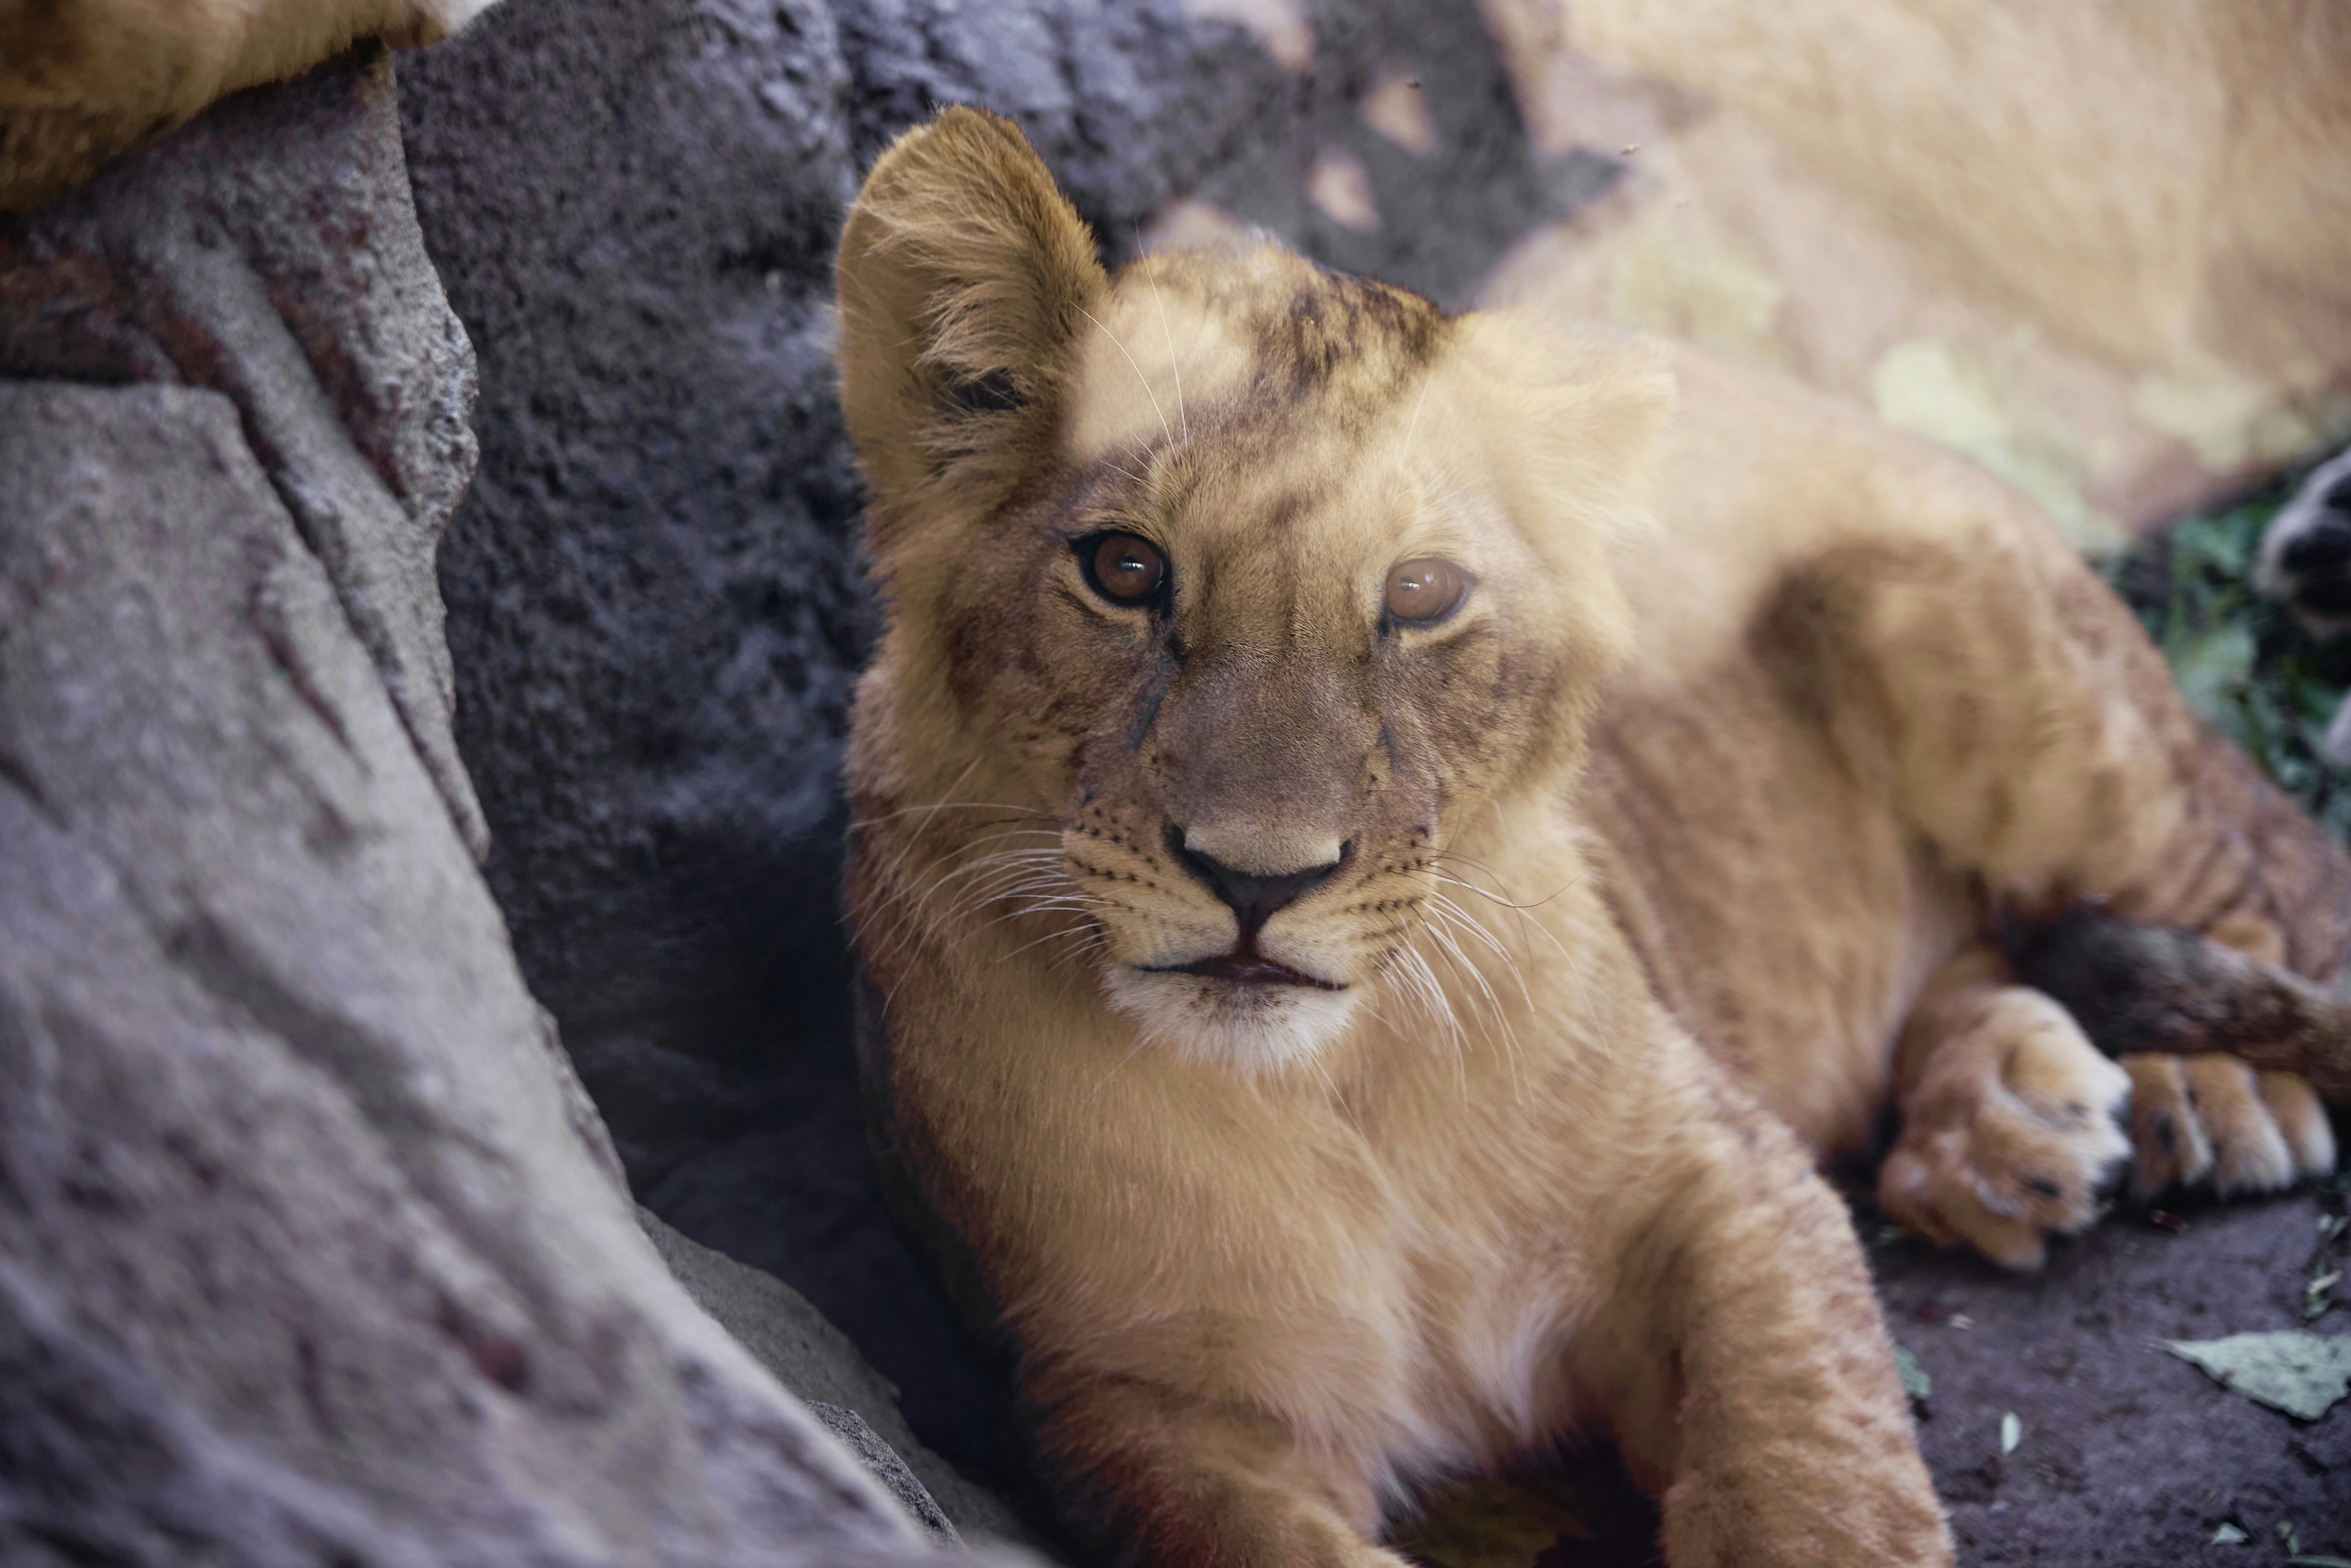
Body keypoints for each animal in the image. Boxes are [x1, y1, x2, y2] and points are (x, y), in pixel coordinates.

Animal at [835, 108, 2347, 1567]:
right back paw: (2006, 1118)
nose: (1258, 877)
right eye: (1124, 569)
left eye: (1420, 592)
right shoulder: (1132, 1407)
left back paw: (2206, 1090)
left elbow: (1810, 1486)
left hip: (1947, 629)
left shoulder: (1725, 1184)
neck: (1332, 1094)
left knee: (2237, 878)